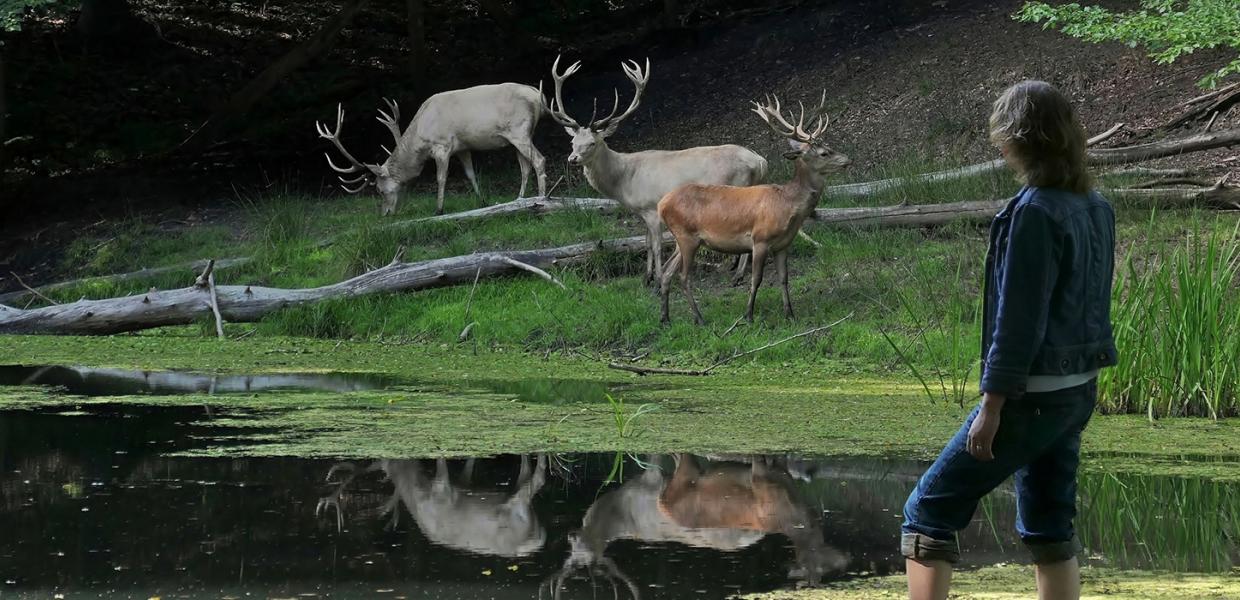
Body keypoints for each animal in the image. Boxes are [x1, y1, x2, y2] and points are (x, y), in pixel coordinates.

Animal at [317, 82, 550, 215]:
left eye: (379, 190)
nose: (385, 213)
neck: (420, 140)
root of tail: (538, 96)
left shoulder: (442, 145)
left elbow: (441, 178)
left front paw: (439, 209)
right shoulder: (463, 147)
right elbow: (470, 173)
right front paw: (482, 200)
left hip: (519, 131)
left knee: (539, 160)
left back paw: (541, 198)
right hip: (518, 136)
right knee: (525, 167)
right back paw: (519, 199)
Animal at [659, 92, 853, 322]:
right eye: (824, 153)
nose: (848, 159)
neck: (788, 204)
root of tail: (661, 204)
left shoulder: (783, 244)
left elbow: (784, 278)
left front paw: (789, 314)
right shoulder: (760, 239)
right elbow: (756, 279)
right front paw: (749, 315)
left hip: (681, 239)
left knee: (666, 271)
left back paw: (665, 318)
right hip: (686, 237)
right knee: (683, 276)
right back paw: (699, 318)